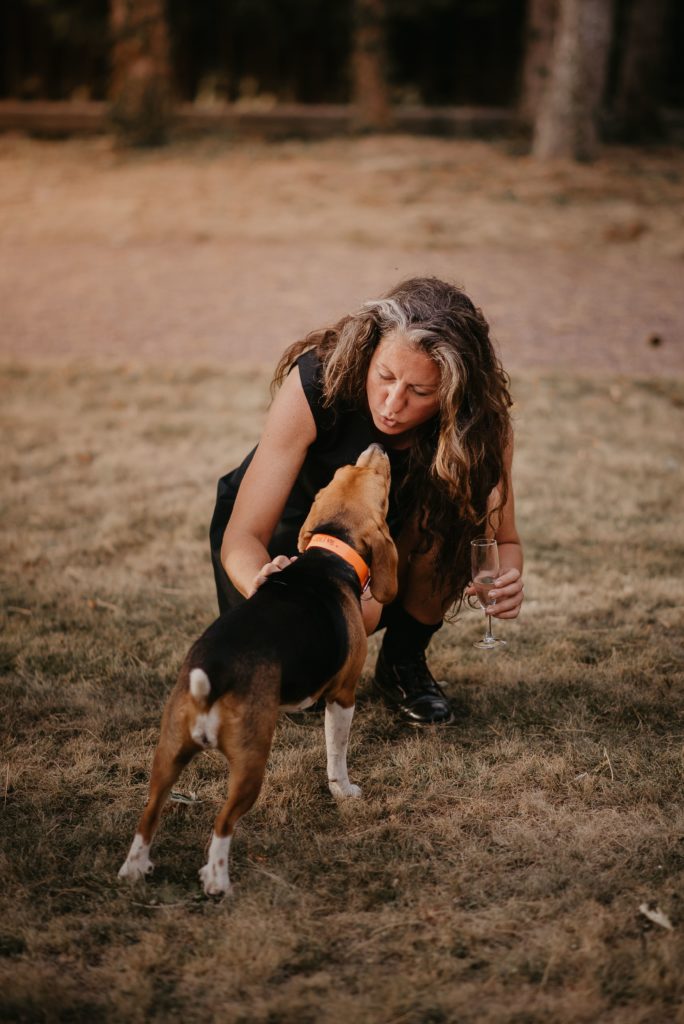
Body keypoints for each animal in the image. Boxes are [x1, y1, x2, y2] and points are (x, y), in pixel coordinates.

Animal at [118, 444, 398, 895]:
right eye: (382, 486)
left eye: (344, 470)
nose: (378, 447)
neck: (330, 553)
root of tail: (214, 673)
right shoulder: (342, 695)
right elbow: (336, 753)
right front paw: (344, 790)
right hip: (250, 767)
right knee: (222, 824)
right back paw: (217, 880)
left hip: (168, 755)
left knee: (149, 813)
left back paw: (135, 867)